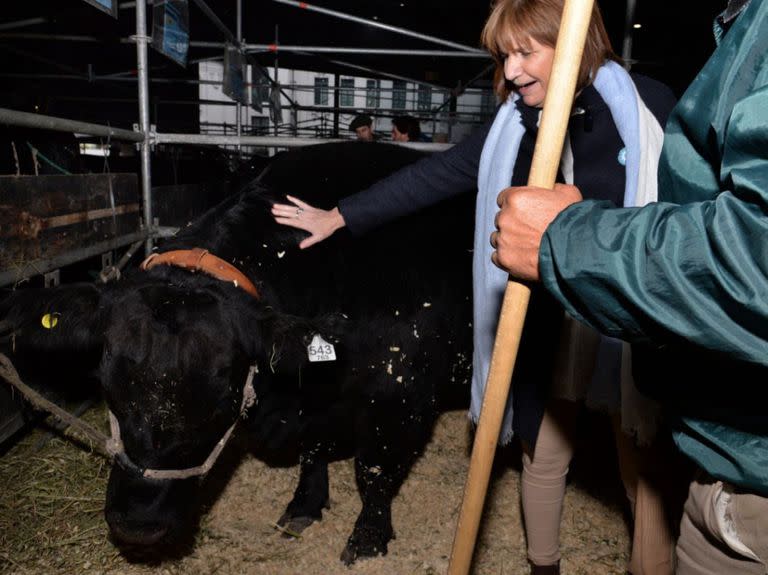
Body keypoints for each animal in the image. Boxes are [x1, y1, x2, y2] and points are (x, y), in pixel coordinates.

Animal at [0, 142, 474, 564]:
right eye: (109, 392)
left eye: (220, 406)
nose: (137, 525)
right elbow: (313, 451)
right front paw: (304, 506)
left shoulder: (400, 397)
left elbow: (374, 472)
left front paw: (368, 540)